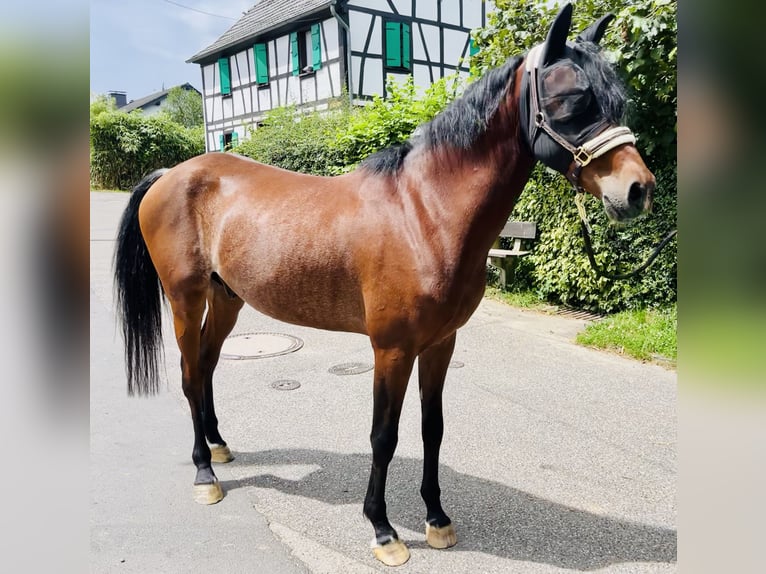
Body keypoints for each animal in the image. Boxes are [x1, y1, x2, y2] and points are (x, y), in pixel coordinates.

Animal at [112, 4, 656, 568]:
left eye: (617, 99)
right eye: (573, 99)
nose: (639, 190)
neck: (424, 212)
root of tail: (170, 174)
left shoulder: (440, 343)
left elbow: (432, 429)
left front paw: (436, 519)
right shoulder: (391, 349)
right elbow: (384, 436)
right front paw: (383, 529)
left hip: (227, 298)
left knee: (208, 366)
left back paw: (219, 446)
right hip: (185, 297)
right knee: (189, 373)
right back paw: (205, 473)